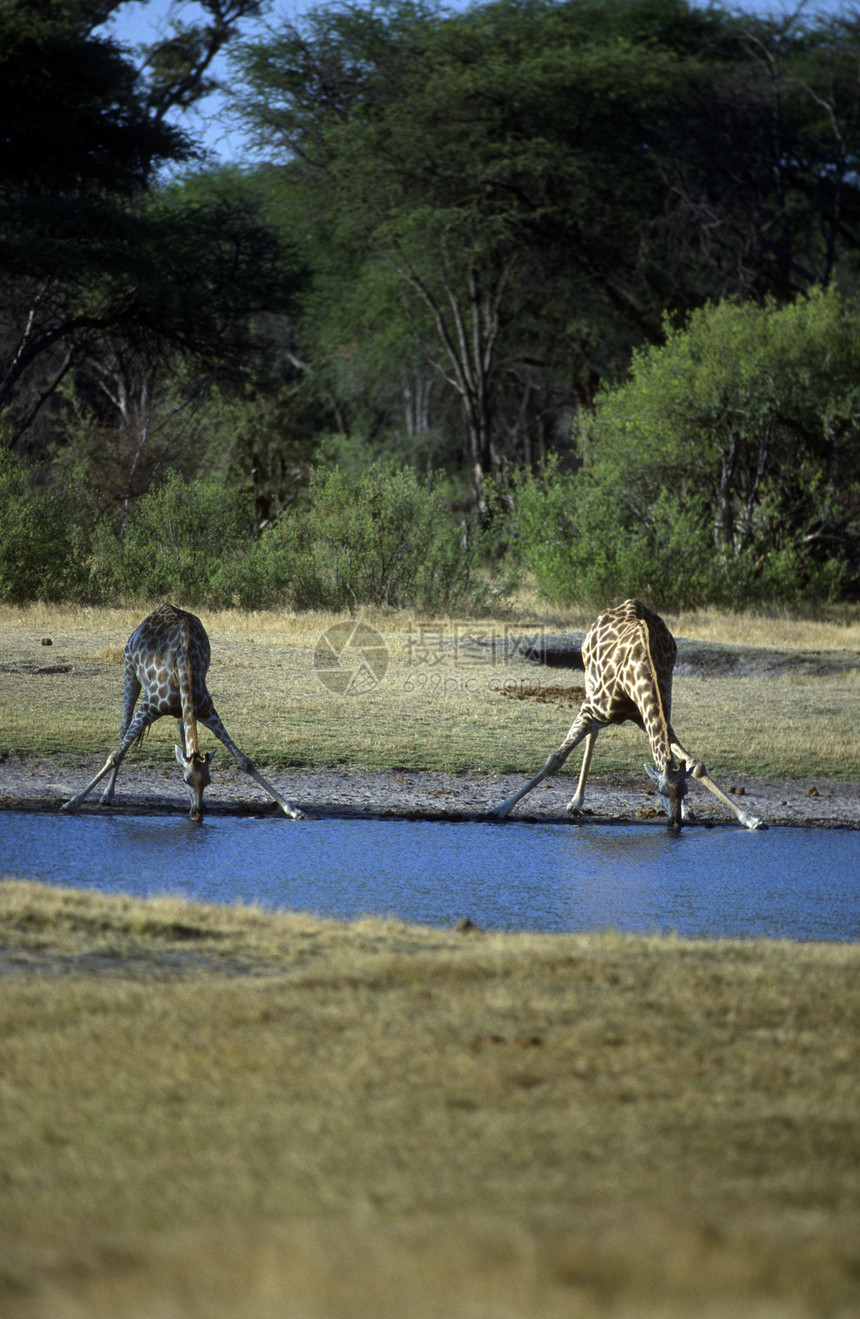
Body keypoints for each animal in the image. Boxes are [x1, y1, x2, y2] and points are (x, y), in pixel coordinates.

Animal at [61, 604, 302, 817]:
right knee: (123, 727)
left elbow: (245, 762)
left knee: (182, 735)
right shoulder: (149, 707)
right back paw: (107, 795)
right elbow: (115, 755)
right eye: (185, 780)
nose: (198, 812)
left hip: (179, 710)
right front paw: (72, 803)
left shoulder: (206, 710)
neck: (184, 668)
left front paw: (292, 809)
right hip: (129, 671)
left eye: (209, 781)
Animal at [490, 601, 765, 828]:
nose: (675, 823)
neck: (639, 674)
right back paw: (576, 802)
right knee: (592, 734)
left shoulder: (653, 716)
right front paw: (500, 808)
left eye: (685, 791)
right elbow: (554, 759)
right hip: (588, 678)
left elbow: (695, 765)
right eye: (659, 792)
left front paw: (750, 818)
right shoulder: (590, 709)